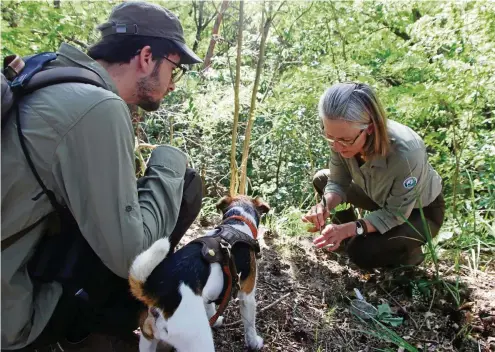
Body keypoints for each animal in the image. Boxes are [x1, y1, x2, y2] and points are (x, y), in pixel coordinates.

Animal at [130, 195, 270, 352]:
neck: (238, 220)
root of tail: (157, 295)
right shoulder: (247, 296)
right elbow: (250, 324)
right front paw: (254, 343)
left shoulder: (207, 296)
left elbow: (210, 308)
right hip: (199, 342)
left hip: (147, 340)